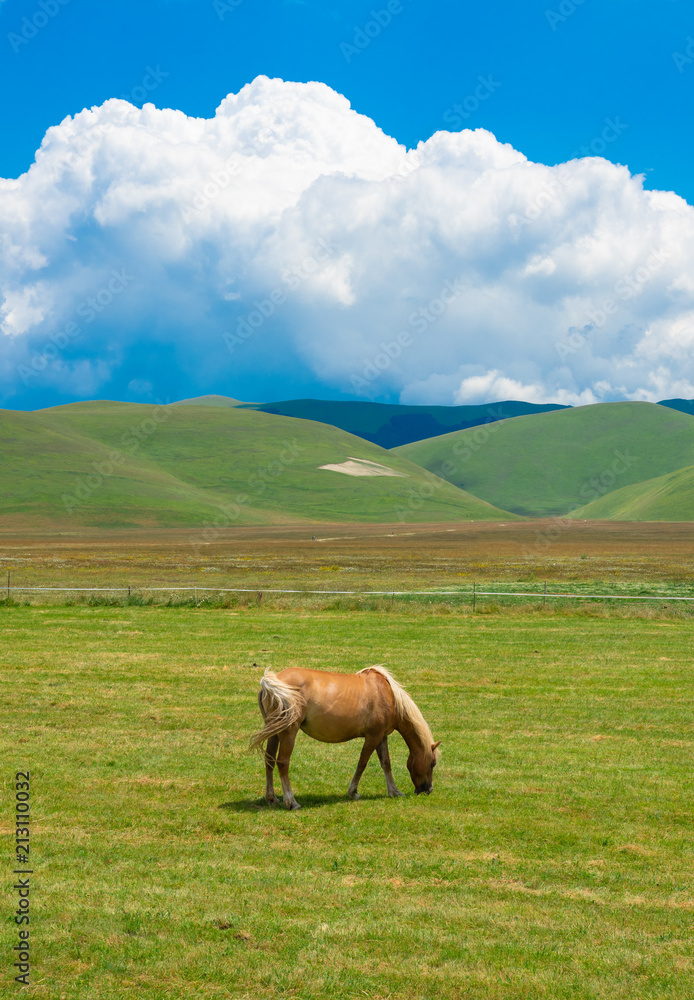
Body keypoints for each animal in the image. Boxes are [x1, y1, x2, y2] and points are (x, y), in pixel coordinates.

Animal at [250, 664, 444, 812]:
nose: (428, 790)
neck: (388, 694)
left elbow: (386, 763)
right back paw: (292, 802)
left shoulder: (381, 737)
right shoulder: (373, 737)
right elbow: (362, 763)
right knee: (283, 762)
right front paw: (353, 792)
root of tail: (271, 682)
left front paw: (394, 791)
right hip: (288, 732)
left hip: (275, 732)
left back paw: (271, 798)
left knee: (269, 760)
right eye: (432, 763)